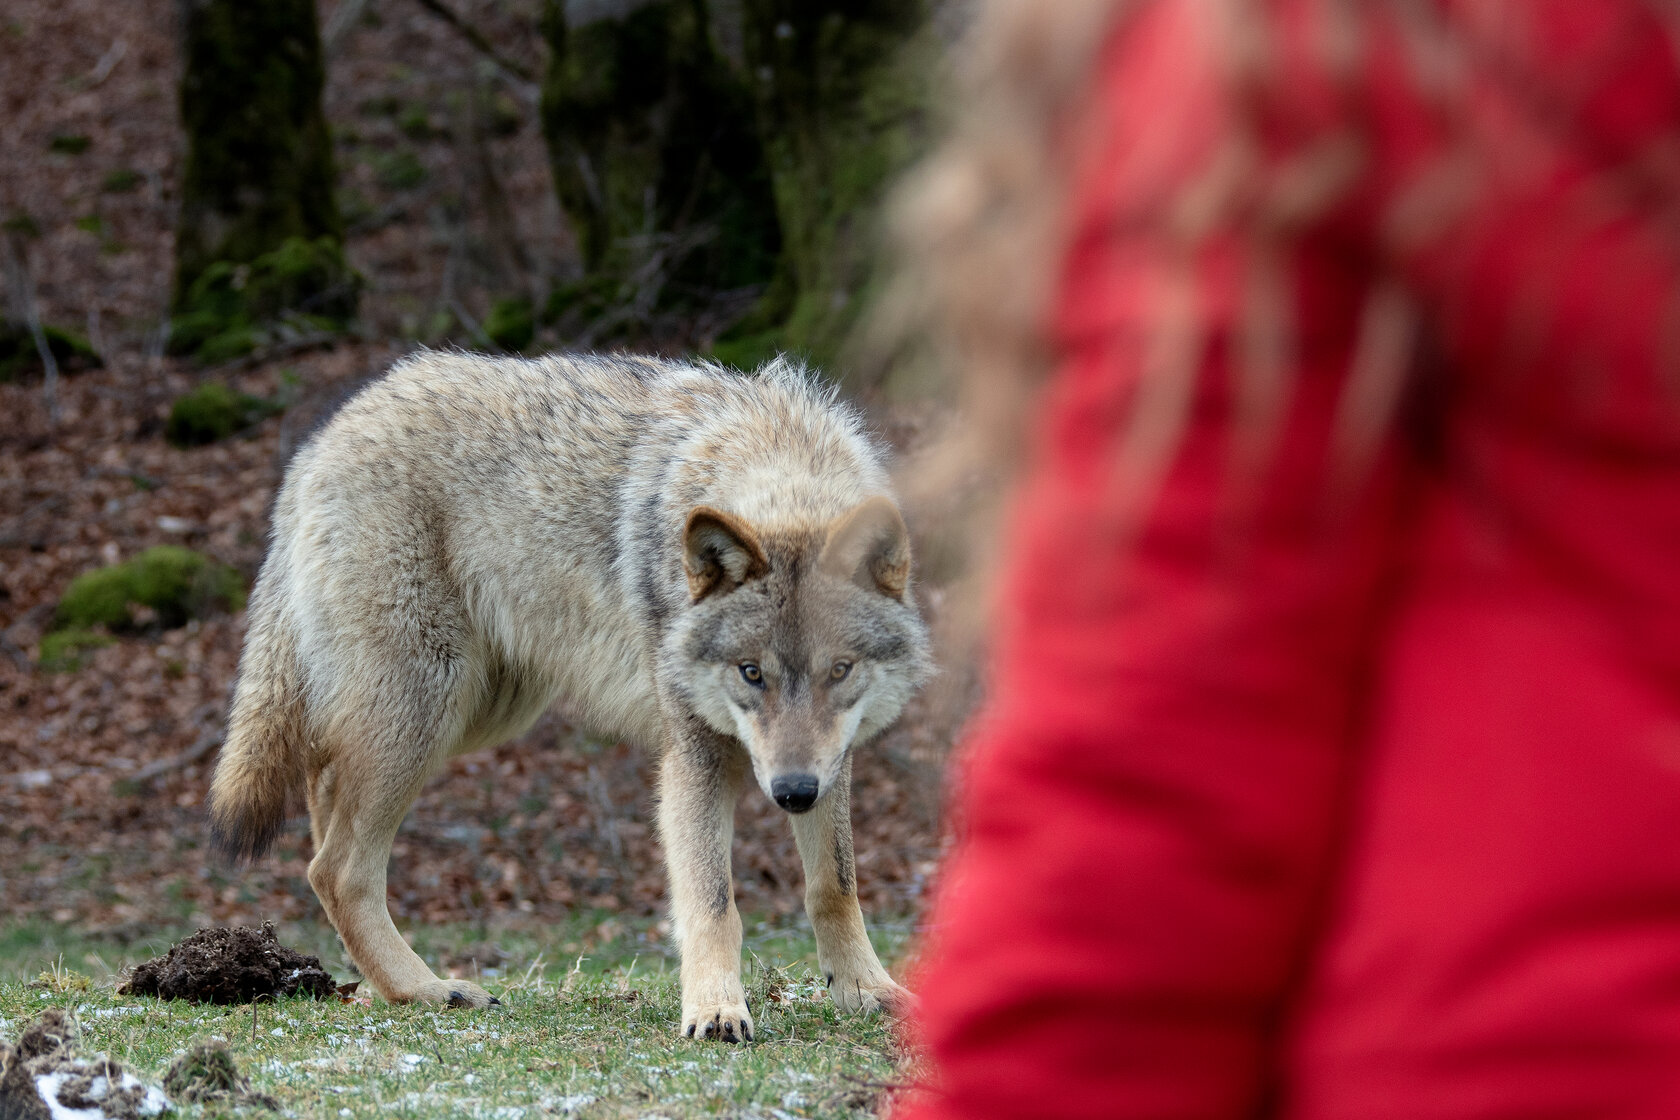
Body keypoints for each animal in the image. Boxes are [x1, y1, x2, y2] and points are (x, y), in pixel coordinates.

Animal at [206, 351, 931, 1042]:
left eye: (840, 671)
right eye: (751, 672)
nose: (791, 794)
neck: (775, 460)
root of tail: (320, 441)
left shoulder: (830, 759)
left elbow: (835, 885)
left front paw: (865, 992)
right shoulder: (692, 752)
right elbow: (712, 902)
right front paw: (717, 1012)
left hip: (478, 710)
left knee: (322, 794)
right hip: (427, 710)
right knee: (334, 867)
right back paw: (426, 990)